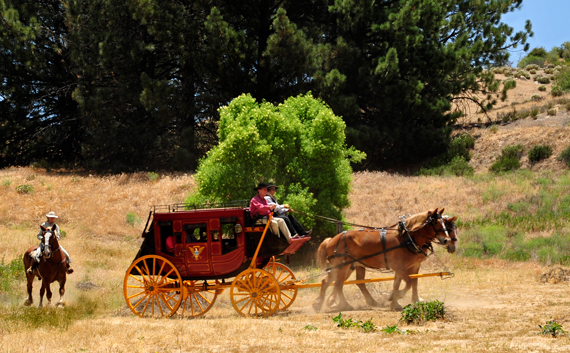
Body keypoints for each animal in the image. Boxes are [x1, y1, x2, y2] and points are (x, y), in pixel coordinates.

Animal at [312, 208, 450, 310]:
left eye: (444, 222)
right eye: (436, 222)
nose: (447, 240)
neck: (406, 238)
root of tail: (332, 239)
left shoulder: (402, 267)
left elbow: (398, 283)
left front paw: (394, 301)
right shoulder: (399, 266)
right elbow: (409, 282)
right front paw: (395, 296)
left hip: (345, 266)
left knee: (329, 282)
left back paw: (322, 304)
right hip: (342, 266)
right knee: (338, 284)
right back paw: (341, 305)